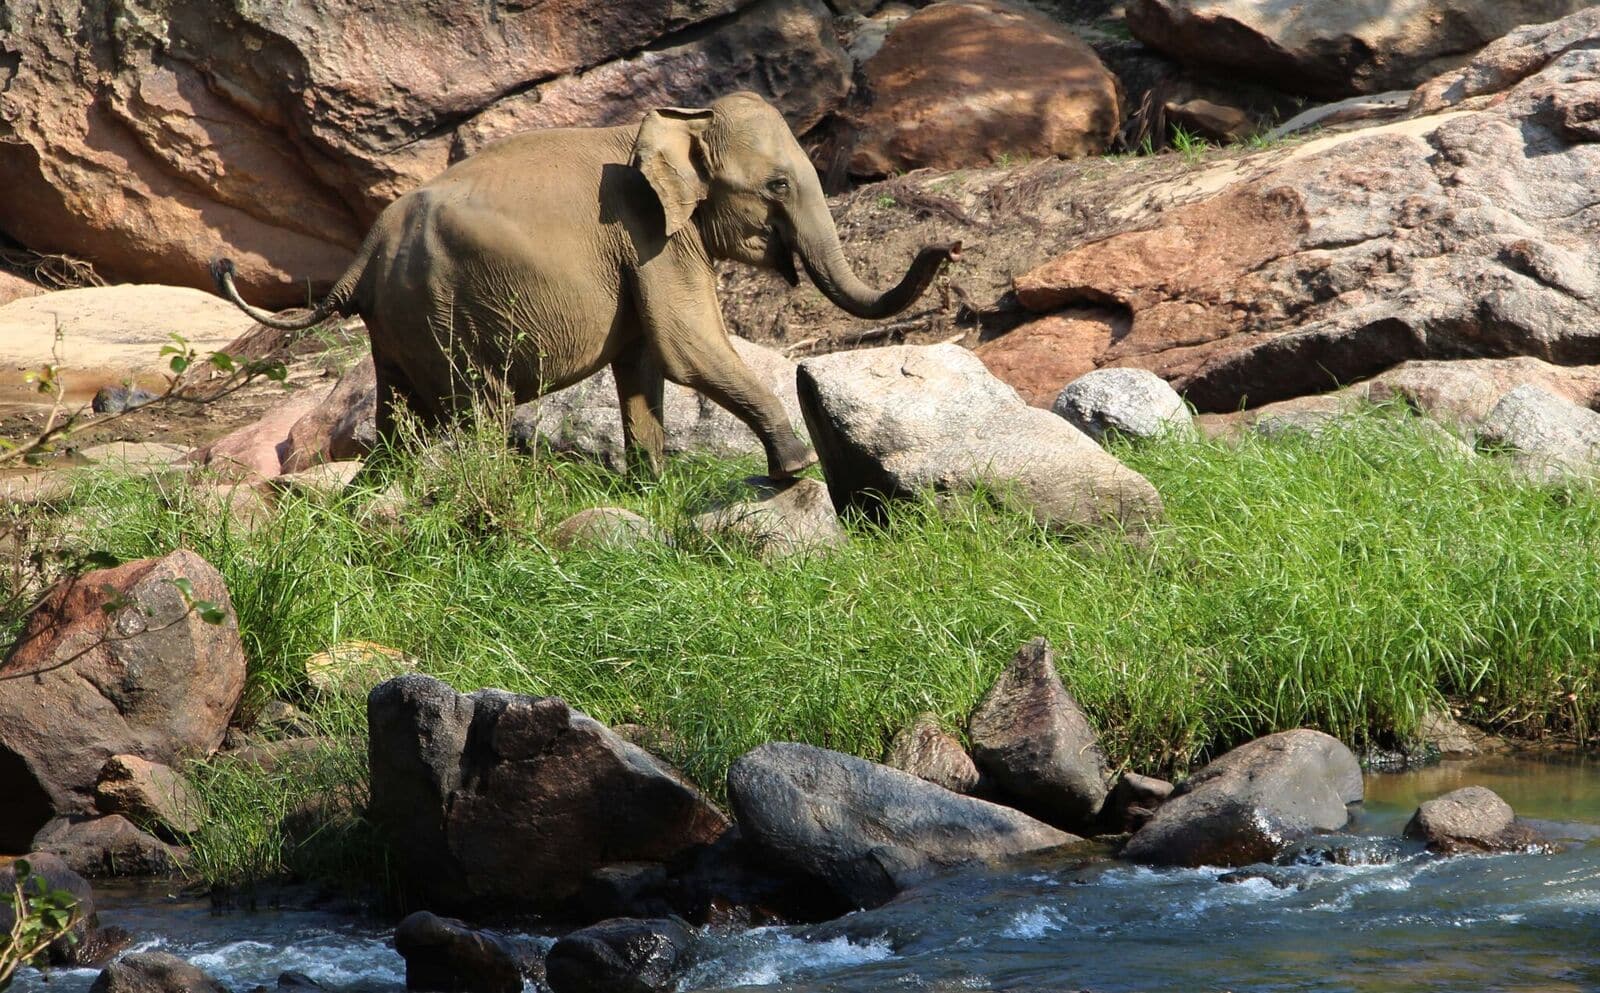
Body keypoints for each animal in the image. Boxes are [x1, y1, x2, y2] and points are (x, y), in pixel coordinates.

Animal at [217, 91, 953, 479]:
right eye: (776, 185)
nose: (946, 246)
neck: (676, 123)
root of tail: (362, 256)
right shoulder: (651, 236)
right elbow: (687, 347)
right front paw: (795, 469)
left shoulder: (641, 249)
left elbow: (645, 360)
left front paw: (651, 484)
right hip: (443, 312)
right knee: (478, 409)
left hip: (398, 326)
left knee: (398, 421)